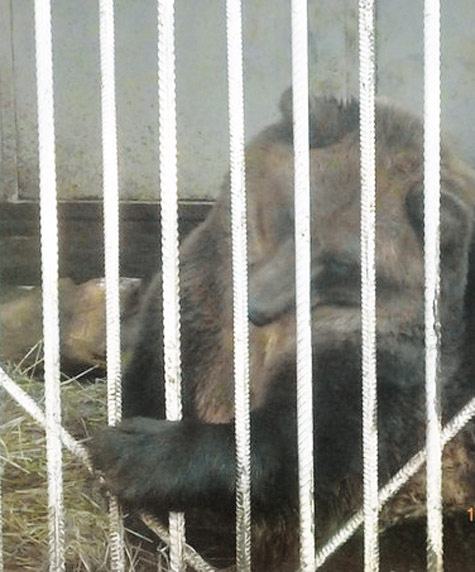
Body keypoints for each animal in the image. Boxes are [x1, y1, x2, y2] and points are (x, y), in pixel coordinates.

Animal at [89, 90, 475, 570]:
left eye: (342, 264)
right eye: (291, 215)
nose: (256, 306)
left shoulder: (373, 363)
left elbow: (302, 451)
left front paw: (132, 453)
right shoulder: (203, 294)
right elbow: (157, 364)